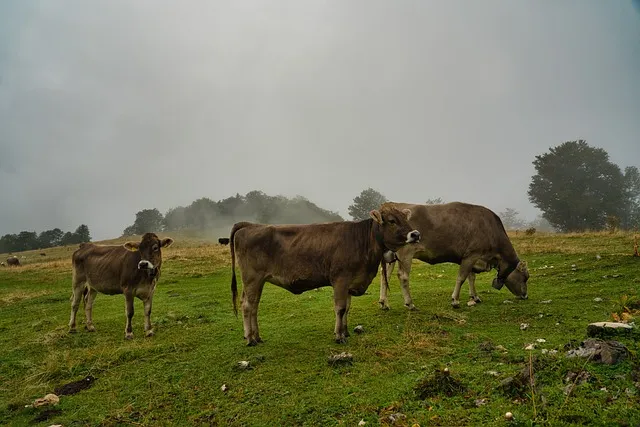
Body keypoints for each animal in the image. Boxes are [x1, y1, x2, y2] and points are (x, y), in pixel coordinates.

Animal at [229, 204, 420, 348]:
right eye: (392, 221)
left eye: (406, 219)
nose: (416, 234)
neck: (361, 242)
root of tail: (250, 225)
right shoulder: (340, 280)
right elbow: (340, 308)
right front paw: (339, 336)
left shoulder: (350, 283)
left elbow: (347, 308)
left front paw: (346, 332)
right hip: (252, 278)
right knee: (248, 305)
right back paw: (251, 338)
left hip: (256, 281)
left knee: (253, 305)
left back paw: (256, 336)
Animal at [378, 202, 528, 310]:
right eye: (525, 277)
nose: (525, 296)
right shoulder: (471, 255)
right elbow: (461, 278)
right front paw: (455, 300)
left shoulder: (472, 258)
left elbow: (471, 278)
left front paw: (475, 297)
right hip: (406, 253)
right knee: (403, 276)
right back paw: (410, 303)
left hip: (391, 256)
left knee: (385, 275)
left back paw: (384, 303)